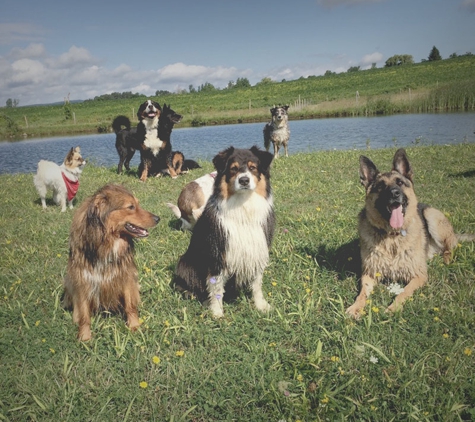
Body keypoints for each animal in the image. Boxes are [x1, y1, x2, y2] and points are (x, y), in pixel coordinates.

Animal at [63, 184, 161, 340]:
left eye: (137, 204)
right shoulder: (83, 280)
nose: (158, 218)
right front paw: (85, 336)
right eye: (131, 207)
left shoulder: (126, 275)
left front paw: (134, 327)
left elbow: (130, 306)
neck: (107, 242)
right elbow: (84, 314)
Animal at [346, 148, 475, 316]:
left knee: (450, 246)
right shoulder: (369, 273)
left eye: (400, 183)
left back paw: (446, 258)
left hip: (431, 216)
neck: (392, 236)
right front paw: (356, 307)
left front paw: (394, 307)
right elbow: (362, 293)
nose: (394, 193)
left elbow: (404, 292)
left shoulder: (419, 276)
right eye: (380, 186)